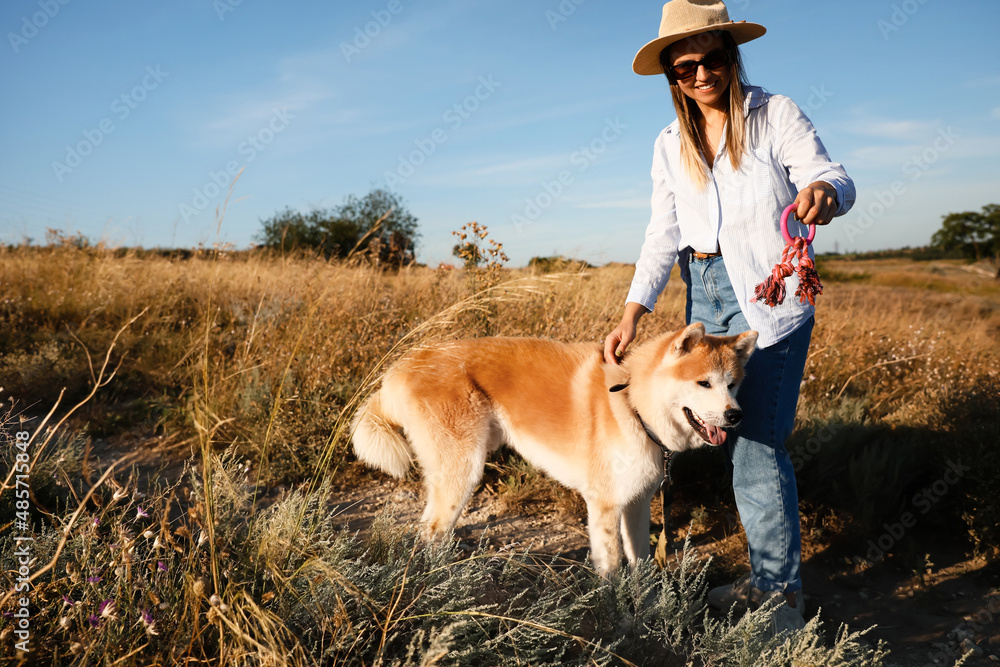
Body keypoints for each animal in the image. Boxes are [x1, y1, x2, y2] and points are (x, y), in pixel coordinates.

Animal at [352, 324, 756, 580]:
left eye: (733, 385)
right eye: (703, 383)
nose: (736, 416)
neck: (632, 405)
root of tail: (401, 366)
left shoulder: (637, 503)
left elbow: (639, 564)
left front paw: (646, 612)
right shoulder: (604, 506)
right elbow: (612, 571)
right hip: (463, 474)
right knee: (431, 533)